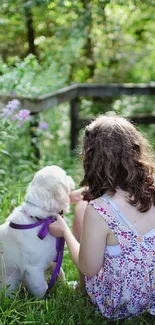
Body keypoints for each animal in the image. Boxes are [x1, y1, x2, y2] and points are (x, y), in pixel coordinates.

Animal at [0, 165, 74, 296]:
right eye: (65, 175)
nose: (71, 177)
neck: (41, 219)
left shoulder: (53, 259)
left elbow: (60, 272)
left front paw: (68, 285)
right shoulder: (33, 270)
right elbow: (42, 289)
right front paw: (46, 299)